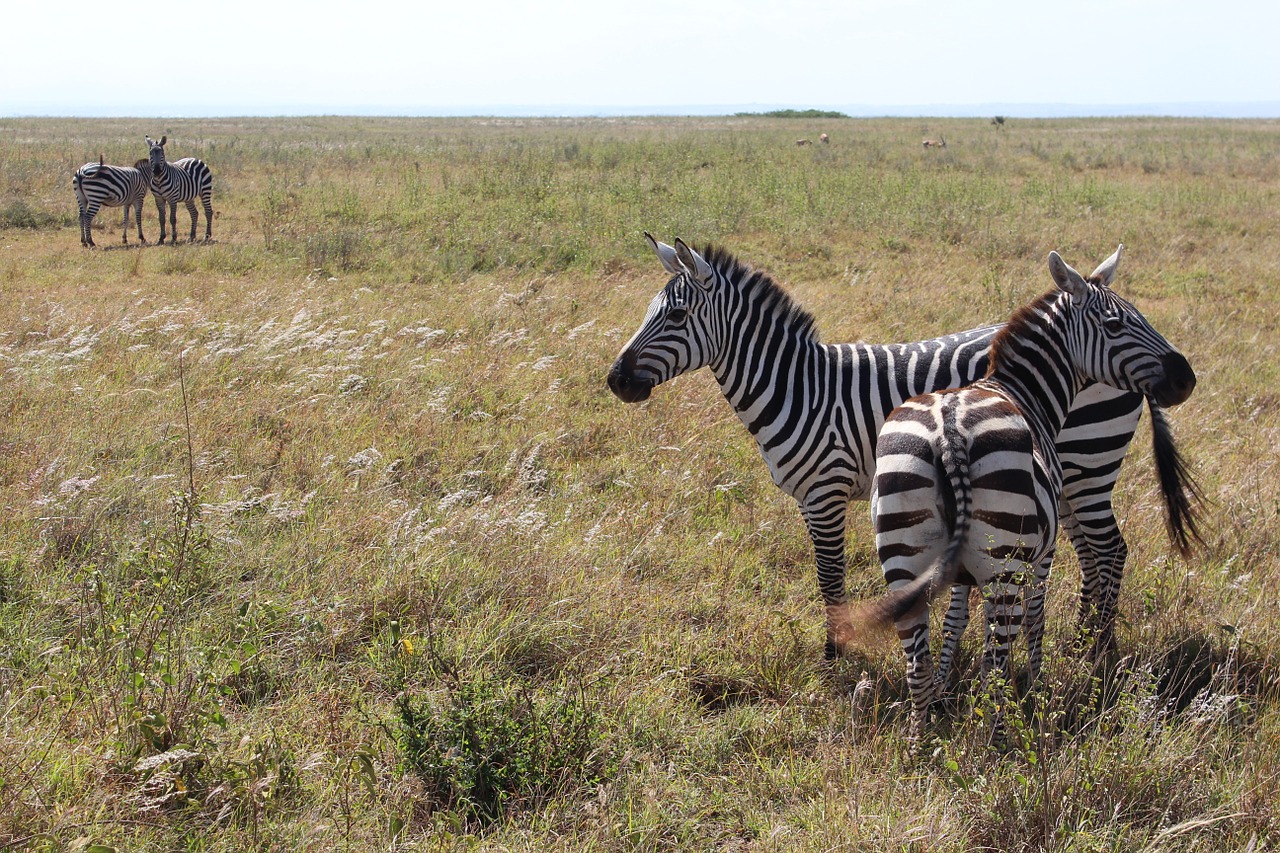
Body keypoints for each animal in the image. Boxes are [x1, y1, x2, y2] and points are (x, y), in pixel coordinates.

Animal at [604, 235, 1203, 660]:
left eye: (676, 316)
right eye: (655, 310)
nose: (616, 380)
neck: (799, 386)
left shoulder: (825, 493)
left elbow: (830, 578)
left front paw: (834, 659)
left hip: (1087, 461)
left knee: (1108, 549)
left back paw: (1095, 652)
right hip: (1067, 474)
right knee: (1093, 553)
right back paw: (1084, 645)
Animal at [849, 245, 1198, 732]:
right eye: (1115, 325)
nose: (1186, 379)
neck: (1023, 391)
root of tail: (948, 430)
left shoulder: (960, 564)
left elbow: (956, 616)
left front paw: (945, 687)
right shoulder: (1042, 554)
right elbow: (1036, 615)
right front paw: (1035, 681)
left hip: (903, 548)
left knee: (916, 662)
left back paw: (923, 738)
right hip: (1008, 562)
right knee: (998, 656)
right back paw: (1004, 727)